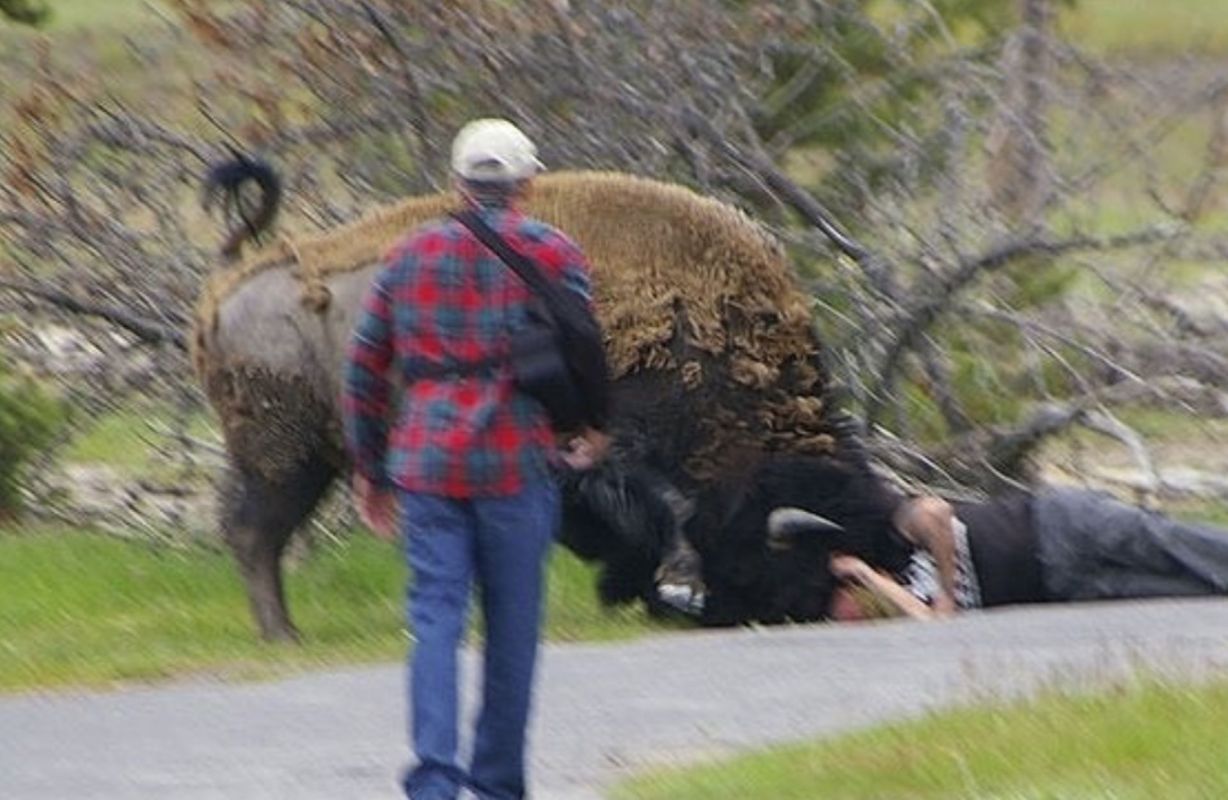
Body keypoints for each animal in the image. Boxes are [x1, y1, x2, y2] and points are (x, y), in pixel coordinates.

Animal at [194, 160, 864, 639]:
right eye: (782, 559)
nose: (806, 608)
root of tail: (228, 283)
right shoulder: (611, 451)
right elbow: (671, 506)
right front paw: (681, 586)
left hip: (304, 460)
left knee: (254, 533)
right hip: (285, 459)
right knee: (254, 534)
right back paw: (284, 636)